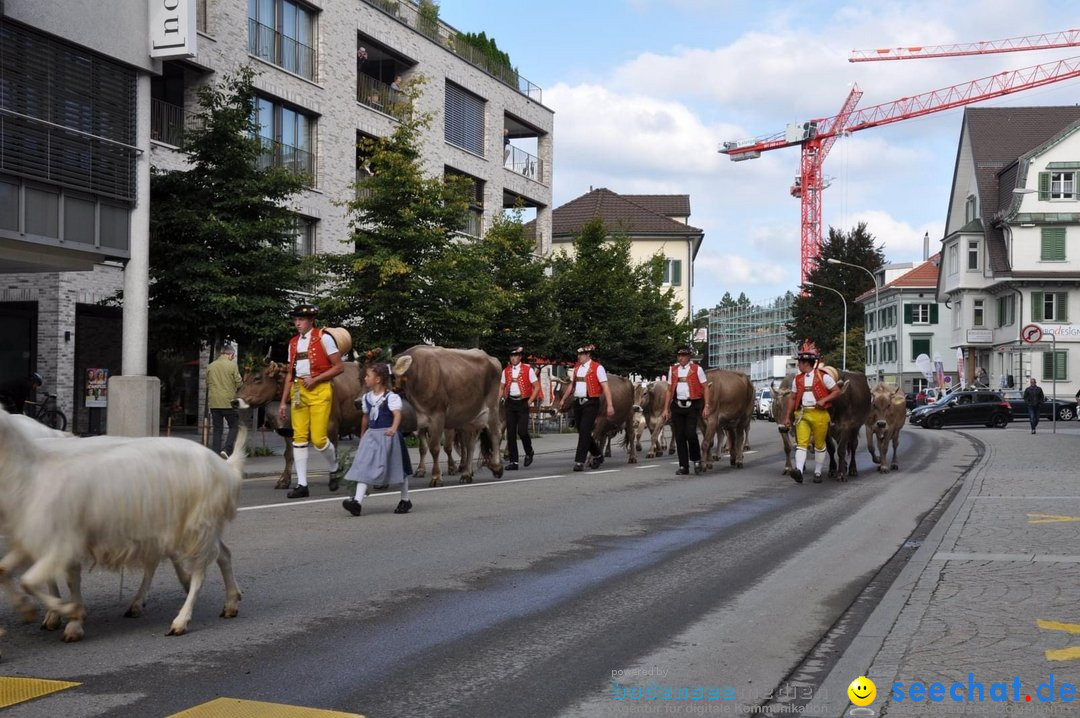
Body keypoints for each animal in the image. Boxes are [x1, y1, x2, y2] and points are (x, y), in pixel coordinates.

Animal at [0, 405, 245, 639]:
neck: (31, 472)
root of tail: (225, 467)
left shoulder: (62, 544)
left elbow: (33, 580)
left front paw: (71, 615)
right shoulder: (36, 541)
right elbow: (9, 571)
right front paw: (41, 613)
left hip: (197, 525)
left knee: (200, 569)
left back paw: (180, 620)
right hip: (175, 528)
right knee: (221, 554)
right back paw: (229, 603)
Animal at [390, 345, 503, 483]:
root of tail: (491, 358)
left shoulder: (438, 417)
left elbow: (437, 447)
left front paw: (437, 476)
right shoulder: (419, 423)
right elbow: (422, 448)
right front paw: (420, 470)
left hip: (491, 408)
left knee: (495, 434)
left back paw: (496, 467)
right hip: (470, 417)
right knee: (470, 445)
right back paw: (466, 474)